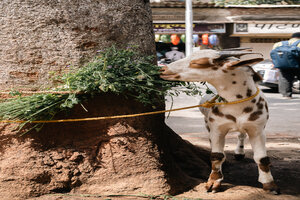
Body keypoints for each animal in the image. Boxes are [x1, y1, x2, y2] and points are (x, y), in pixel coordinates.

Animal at [161, 48, 280, 194]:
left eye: (198, 63)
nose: (163, 69)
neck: (237, 105)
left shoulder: (257, 129)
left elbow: (262, 158)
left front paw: (270, 185)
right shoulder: (217, 128)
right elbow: (217, 155)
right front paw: (213, 182)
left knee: (241, 134)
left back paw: (239, 152)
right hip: (208, 124)